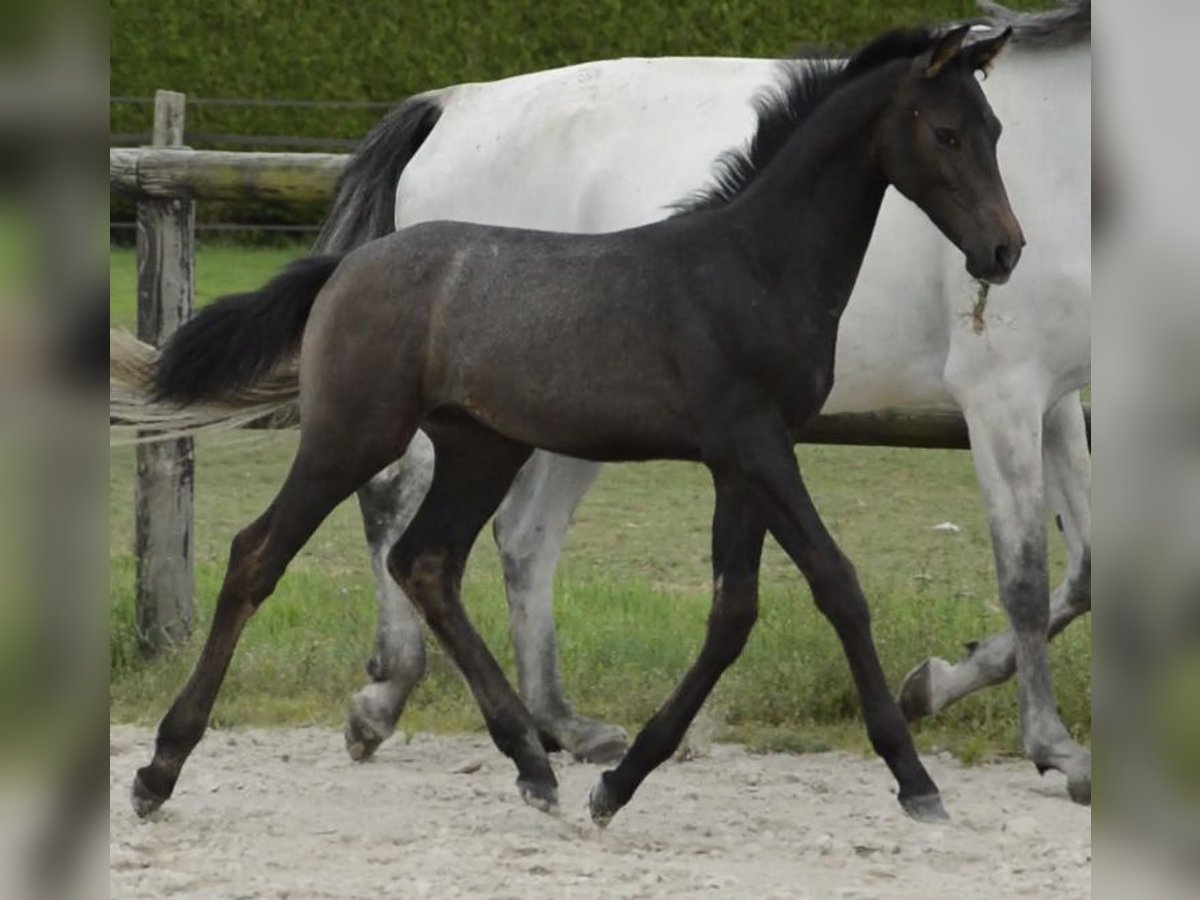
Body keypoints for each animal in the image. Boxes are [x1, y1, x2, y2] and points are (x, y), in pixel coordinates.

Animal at [133, 24, 1022, 830]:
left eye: (996, 129)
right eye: (945, 133)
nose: (1004, 249)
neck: (753, 267)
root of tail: (346, 266)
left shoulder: (742, 458)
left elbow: (733, 613)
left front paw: (618, 783)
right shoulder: (756, 445)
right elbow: (837, 584)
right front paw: (914, 778)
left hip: (481, 447)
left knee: (427, 563)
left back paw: (533, 763)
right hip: (353, 434)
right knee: (259, 554)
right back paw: (159, 770)